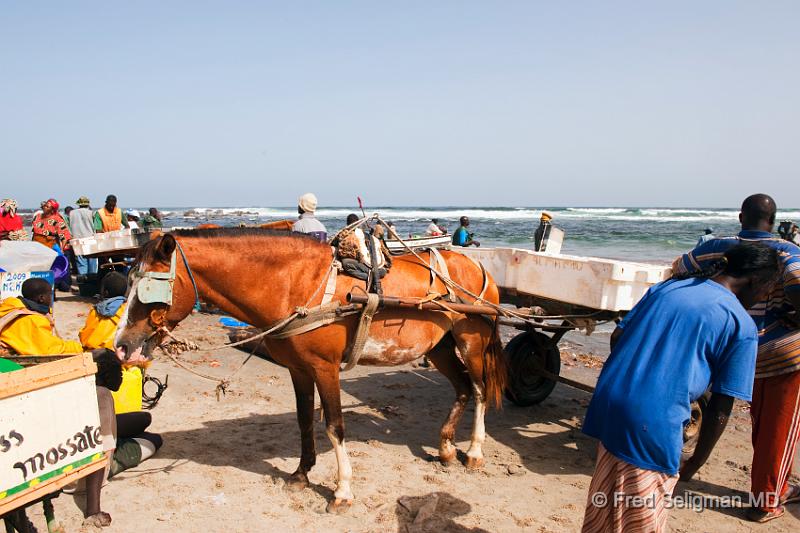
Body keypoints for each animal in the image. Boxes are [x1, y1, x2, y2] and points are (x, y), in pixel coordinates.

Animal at [114, 228, 506, 512]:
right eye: (127, 281)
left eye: (147, 287)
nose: (121, 345)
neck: (295, 284)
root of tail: (478, 266)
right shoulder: (298, 369)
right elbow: (304, 420)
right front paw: (301, 473)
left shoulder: (324, 368)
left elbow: (334, 426)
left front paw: (343, 490)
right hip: (439, 347)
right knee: (462, 389)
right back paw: (446, 448)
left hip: (472, 341)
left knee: (480, 391)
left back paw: (474, 452)